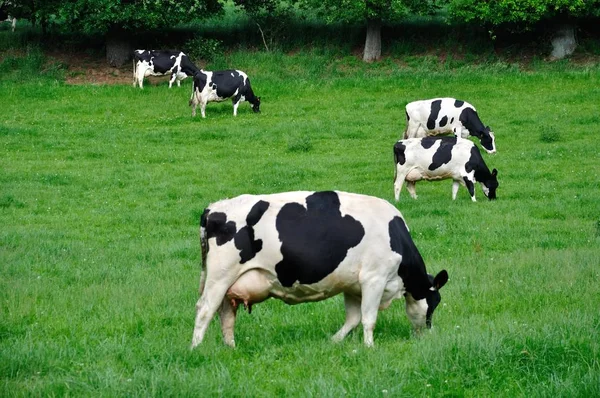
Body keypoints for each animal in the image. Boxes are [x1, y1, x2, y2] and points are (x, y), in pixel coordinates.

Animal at [190, 190, 448, 348]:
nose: (427, 333)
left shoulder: (352, 286)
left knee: (226, 315)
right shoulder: (374, 278)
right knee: (205, 310)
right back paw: (196, 348)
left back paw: (231, 348)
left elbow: (353, 318)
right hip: (220, 277)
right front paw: (369, 346)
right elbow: (368, 318)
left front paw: (334, 341)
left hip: (229, 284)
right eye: (435, 302)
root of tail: (214, 207)